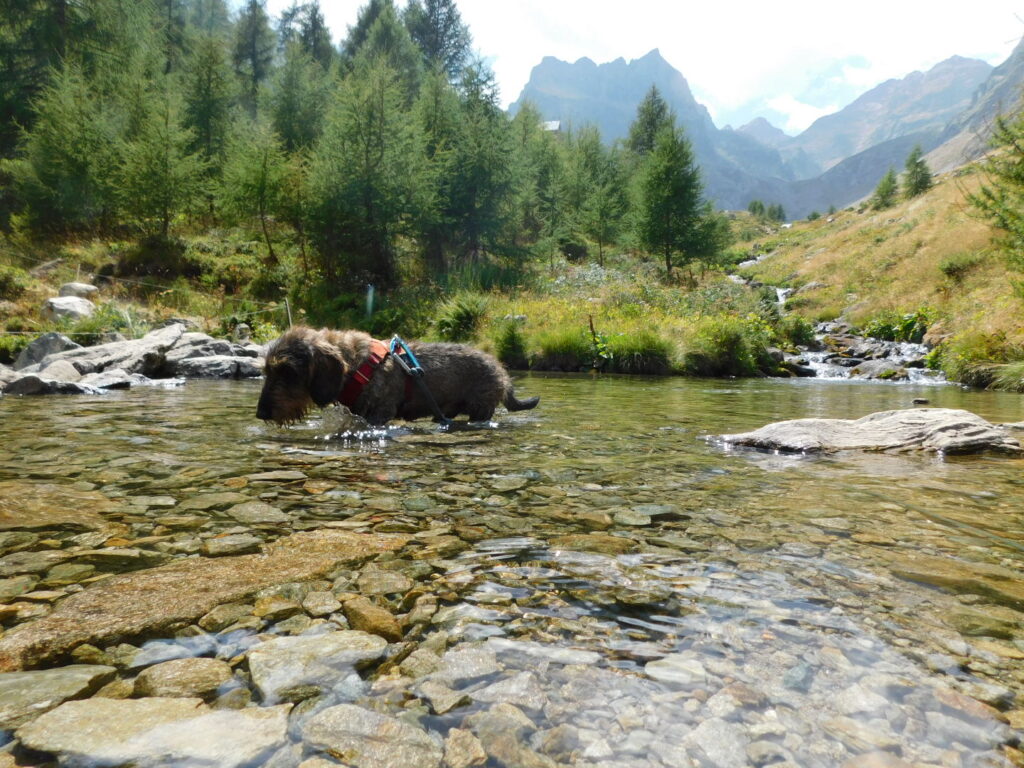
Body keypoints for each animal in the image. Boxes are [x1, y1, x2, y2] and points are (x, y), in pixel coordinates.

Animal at [256, 327, 540, 430]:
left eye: (288, 372)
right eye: (267, 371)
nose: (261, 413)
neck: (358, 366)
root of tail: (502, 372)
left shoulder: (379, 413)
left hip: (481, 408)